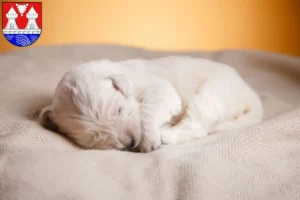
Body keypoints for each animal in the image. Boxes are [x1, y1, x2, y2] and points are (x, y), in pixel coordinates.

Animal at [39, 56, 262, 153]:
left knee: (197, 125)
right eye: (94, 138)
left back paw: (166, 135)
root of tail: (251, 95)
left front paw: (149, 137)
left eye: (119, 110)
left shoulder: (160, 89)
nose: (129, 143)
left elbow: (148, 108)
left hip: (213, 91)